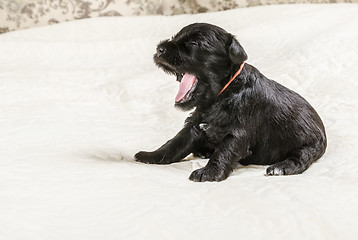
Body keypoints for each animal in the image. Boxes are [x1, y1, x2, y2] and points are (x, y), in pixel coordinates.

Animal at [134, 23, 328, 182]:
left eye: (194, 43)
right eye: (175, 37)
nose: (160, 49)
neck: (221, 94)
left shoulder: (238, 132)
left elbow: (224, 151)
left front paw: (208, 173)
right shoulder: (194, 125)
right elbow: (175, 143)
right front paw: (151, 156)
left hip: (309, 144)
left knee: (300, 158)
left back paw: (281, 167)